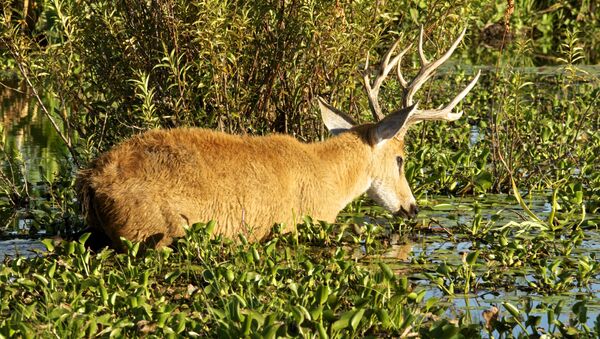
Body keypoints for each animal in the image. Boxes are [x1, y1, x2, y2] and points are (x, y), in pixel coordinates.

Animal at [76, 27, 478, 250]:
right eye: (400, 158)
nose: (412, 207)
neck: (328, 179)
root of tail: (92, 179)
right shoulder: (294, 226)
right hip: (158, 230)